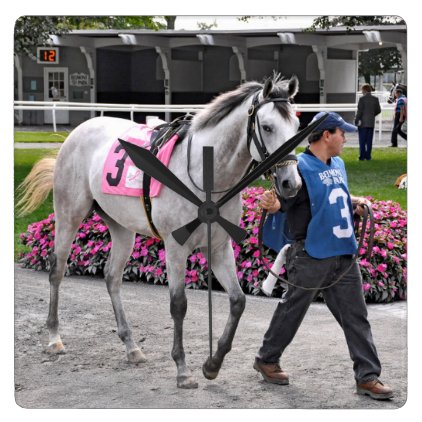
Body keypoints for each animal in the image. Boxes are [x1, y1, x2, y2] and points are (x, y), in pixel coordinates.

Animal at [18, 75, 302, 390]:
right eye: (268, 126)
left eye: (296, 126)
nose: (291, 183)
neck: (205, 174)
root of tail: (77, 132)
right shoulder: (176, 247)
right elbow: (179, 304)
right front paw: (183, 370)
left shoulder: (218, 246)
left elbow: (238, 301)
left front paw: (212, 365)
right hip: (69, 214)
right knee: (57, 270)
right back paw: (54, 338)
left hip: (121, 227)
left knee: (112, 277)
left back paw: (132, 347)